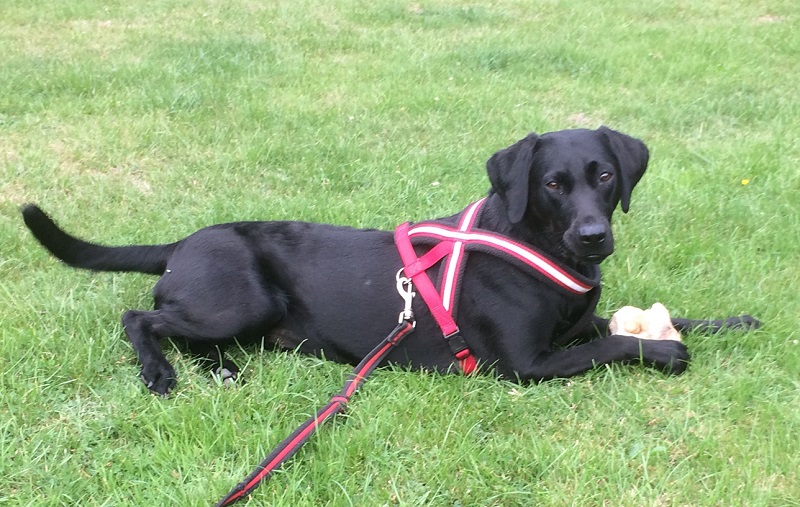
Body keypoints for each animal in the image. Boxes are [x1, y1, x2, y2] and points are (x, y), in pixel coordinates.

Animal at [18, 128, 756, 396]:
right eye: (553, 184)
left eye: (604, 176)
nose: (595, 236)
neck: (538, 251)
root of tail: (180, 243)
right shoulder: (524, 365)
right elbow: (612, 347)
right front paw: (665, 351)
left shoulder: (573, 325)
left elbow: (642, 322)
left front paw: (734, 322)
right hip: (240, 299)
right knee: (138, 316)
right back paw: (159, 372)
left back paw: (222, 369)